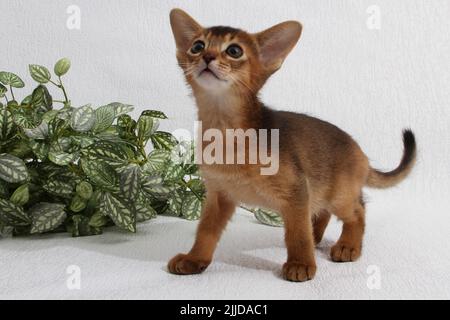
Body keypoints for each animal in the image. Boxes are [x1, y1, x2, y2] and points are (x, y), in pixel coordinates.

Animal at [167, 8, 416, 282]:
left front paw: (301, 263)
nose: (208, 56)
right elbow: (205, 231)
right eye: (197, 46)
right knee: (321, 211)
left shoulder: (296, 190)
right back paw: (316, 236)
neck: (225, 133)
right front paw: (194, 259)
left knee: (358, 210)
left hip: (339, 194)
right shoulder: (218, 196)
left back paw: (348, 246)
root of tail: (359, 150)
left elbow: (297, 233)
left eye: (234, 50)